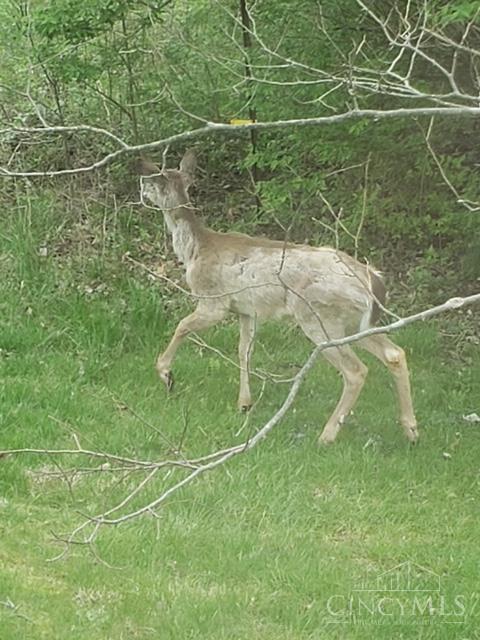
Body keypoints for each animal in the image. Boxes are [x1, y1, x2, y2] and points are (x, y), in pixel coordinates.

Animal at [138, 150, 418, 445]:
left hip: (320, 316)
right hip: (356, 323)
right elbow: (244, 350)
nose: (142, 187)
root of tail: (375, 282)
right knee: (394, 353)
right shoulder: (246, 310)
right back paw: (411, 429)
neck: (195, 250)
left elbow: (182, 326)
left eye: (153, 181)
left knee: (355, 370)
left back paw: (327, 434)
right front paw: (244, 403)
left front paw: (166, 374)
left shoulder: (214, 300)